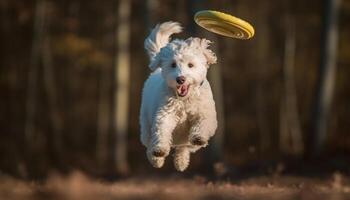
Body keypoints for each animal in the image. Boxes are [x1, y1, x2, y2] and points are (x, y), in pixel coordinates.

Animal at [140, 22, 217, 172]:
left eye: (191, 65)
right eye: (173, 64)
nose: (180, 79)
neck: (185, 100)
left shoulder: (206, 113)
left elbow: (203, 123)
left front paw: (199, 136)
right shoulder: (165, 113)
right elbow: (162, 129)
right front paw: (160, 150)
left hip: (188, 142)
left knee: (184, 147)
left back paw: (181, 162)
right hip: (146, 125)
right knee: (150, 142)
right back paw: (156, 159)